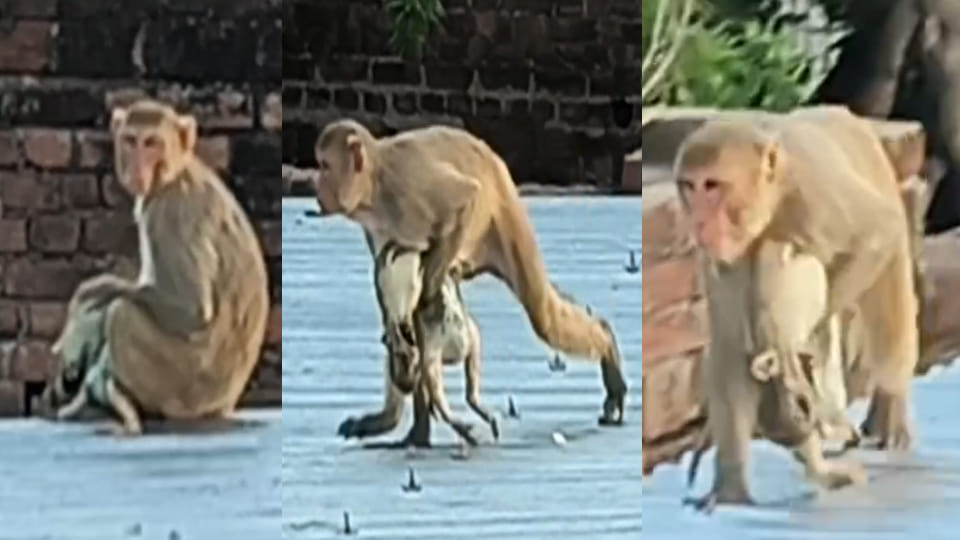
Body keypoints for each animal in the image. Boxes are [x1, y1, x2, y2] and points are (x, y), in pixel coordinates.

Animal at [64, 99, 269, 425]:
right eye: (131, 140)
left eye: (151, 143)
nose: (137, 168)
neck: (174, 173)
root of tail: (222, 404)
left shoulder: (168, 213)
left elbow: (192, 309)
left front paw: (91, 296)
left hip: (178, 384)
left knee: (122, 314)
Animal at [314, 119, 627, 428]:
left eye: (325, 166)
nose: (318, 187)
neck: (373, 189)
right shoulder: (375, 224)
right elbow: (388, 292)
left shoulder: (405, 188)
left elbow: (463, 200)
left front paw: (428, 294)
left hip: (501, 213)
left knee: (544, 317)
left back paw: (606, 342)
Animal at [674, 105, 918, 508]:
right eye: (689, 187)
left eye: (711, 185)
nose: (699, 220)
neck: (773, 198)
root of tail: (845, 115)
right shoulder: (722, 256)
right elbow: (728, 345)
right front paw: (731, 485)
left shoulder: (816, 190)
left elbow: (876, 234)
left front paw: (794, 349)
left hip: (880, 182)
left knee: (885, 295)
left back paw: (888, 403)